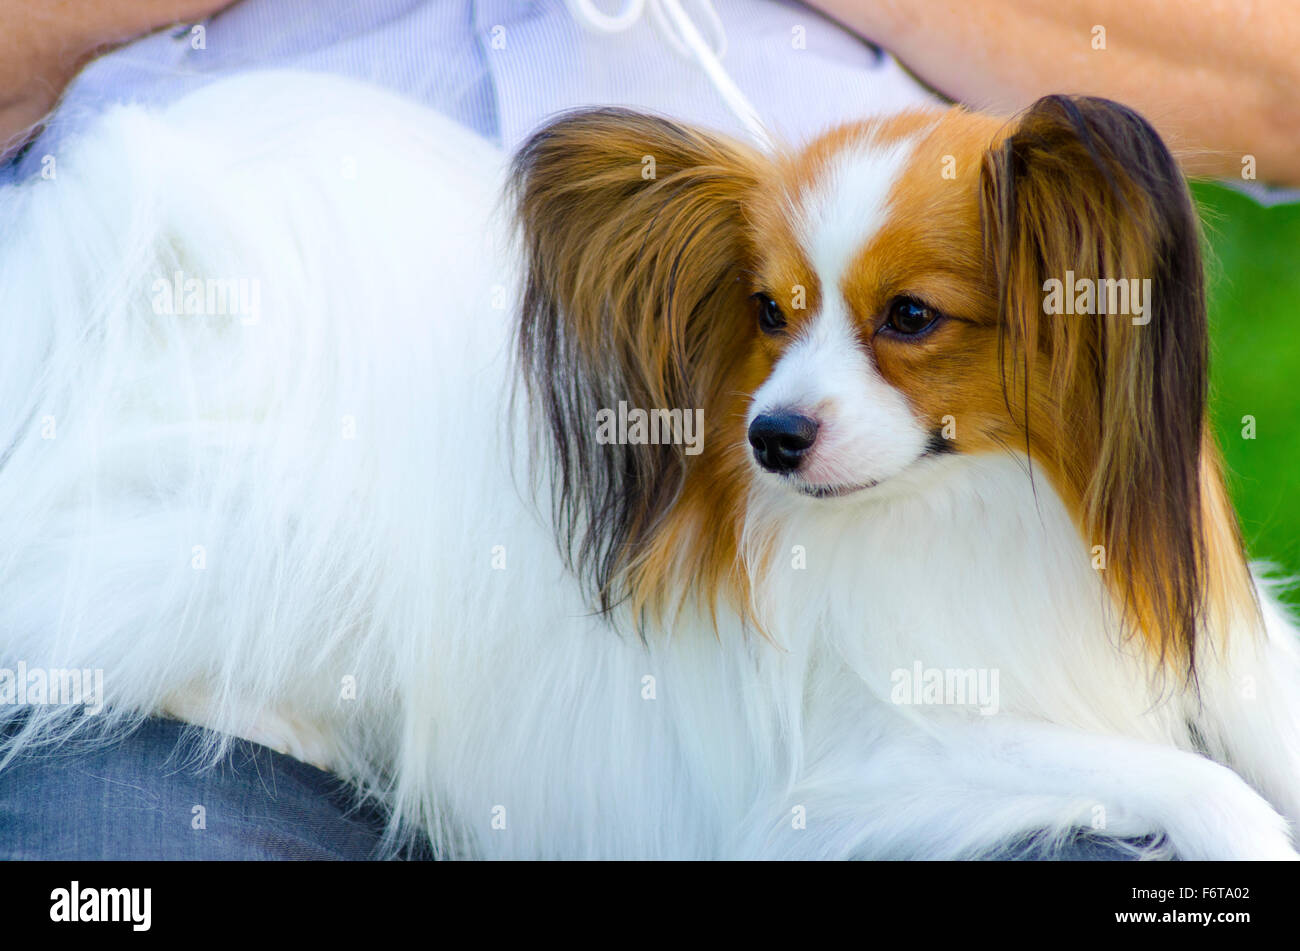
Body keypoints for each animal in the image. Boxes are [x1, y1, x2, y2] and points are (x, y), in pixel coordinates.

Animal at [2, 72, 1300, 862]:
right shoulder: (854, 764)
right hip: (234, 539)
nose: (769, 437)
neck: (958, 509)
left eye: (912, 319)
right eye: (770, 314)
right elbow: (1173, 776)